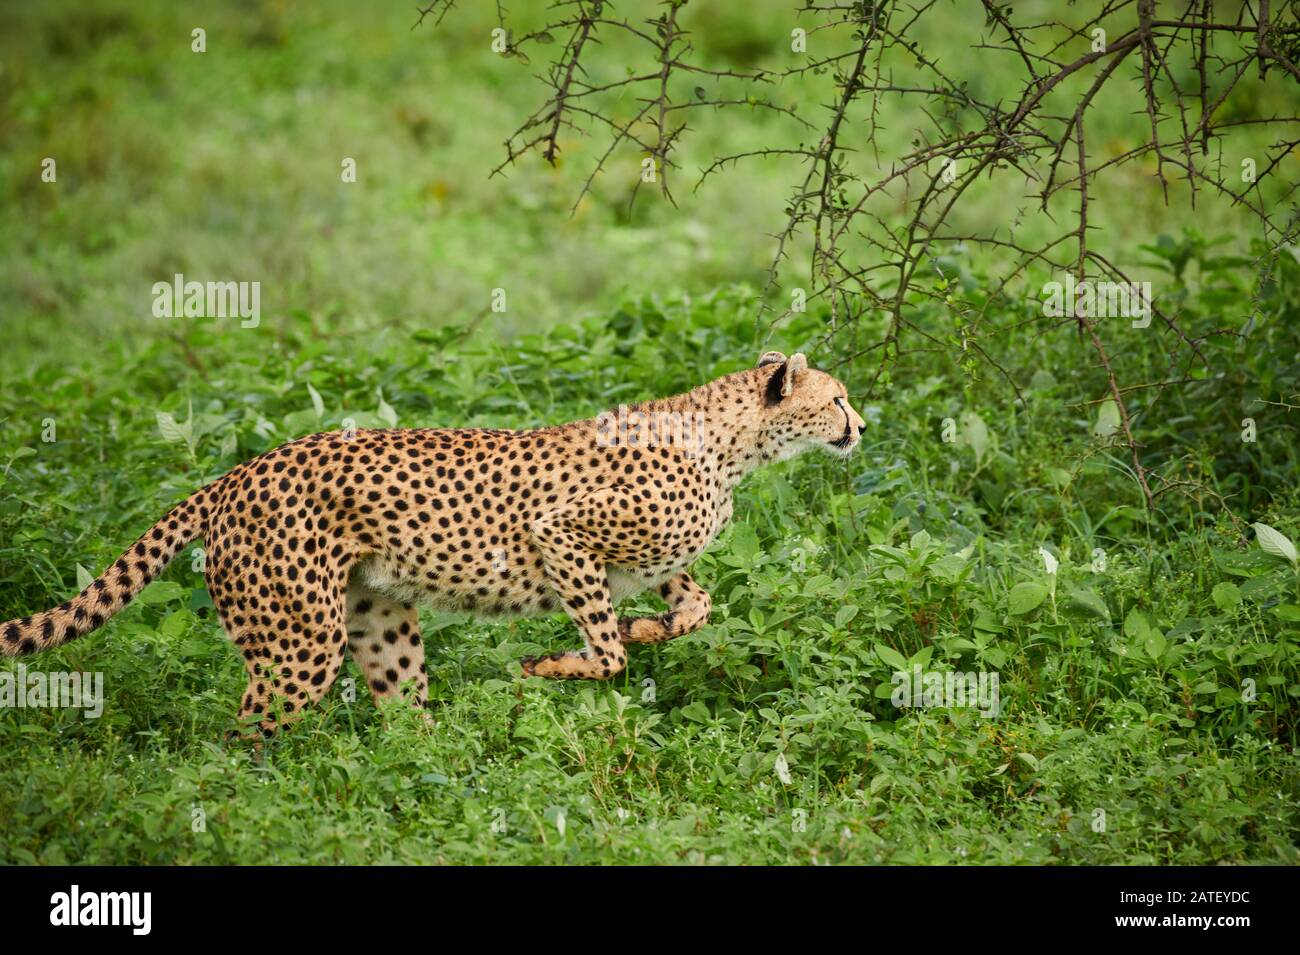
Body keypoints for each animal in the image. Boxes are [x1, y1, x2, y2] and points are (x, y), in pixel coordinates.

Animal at [5, 350, 868, 732]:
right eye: (836, 399)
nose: (861, 425)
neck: (732, 444)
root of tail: (238, 470)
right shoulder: (561, 534)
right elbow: (606, 650)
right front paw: (551, 663)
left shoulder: (652, 561)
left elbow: (696, 606)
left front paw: (651, 626)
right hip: (298, 645)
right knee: (245, 734)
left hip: (377, 622)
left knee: (401, 723)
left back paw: (429, 776)